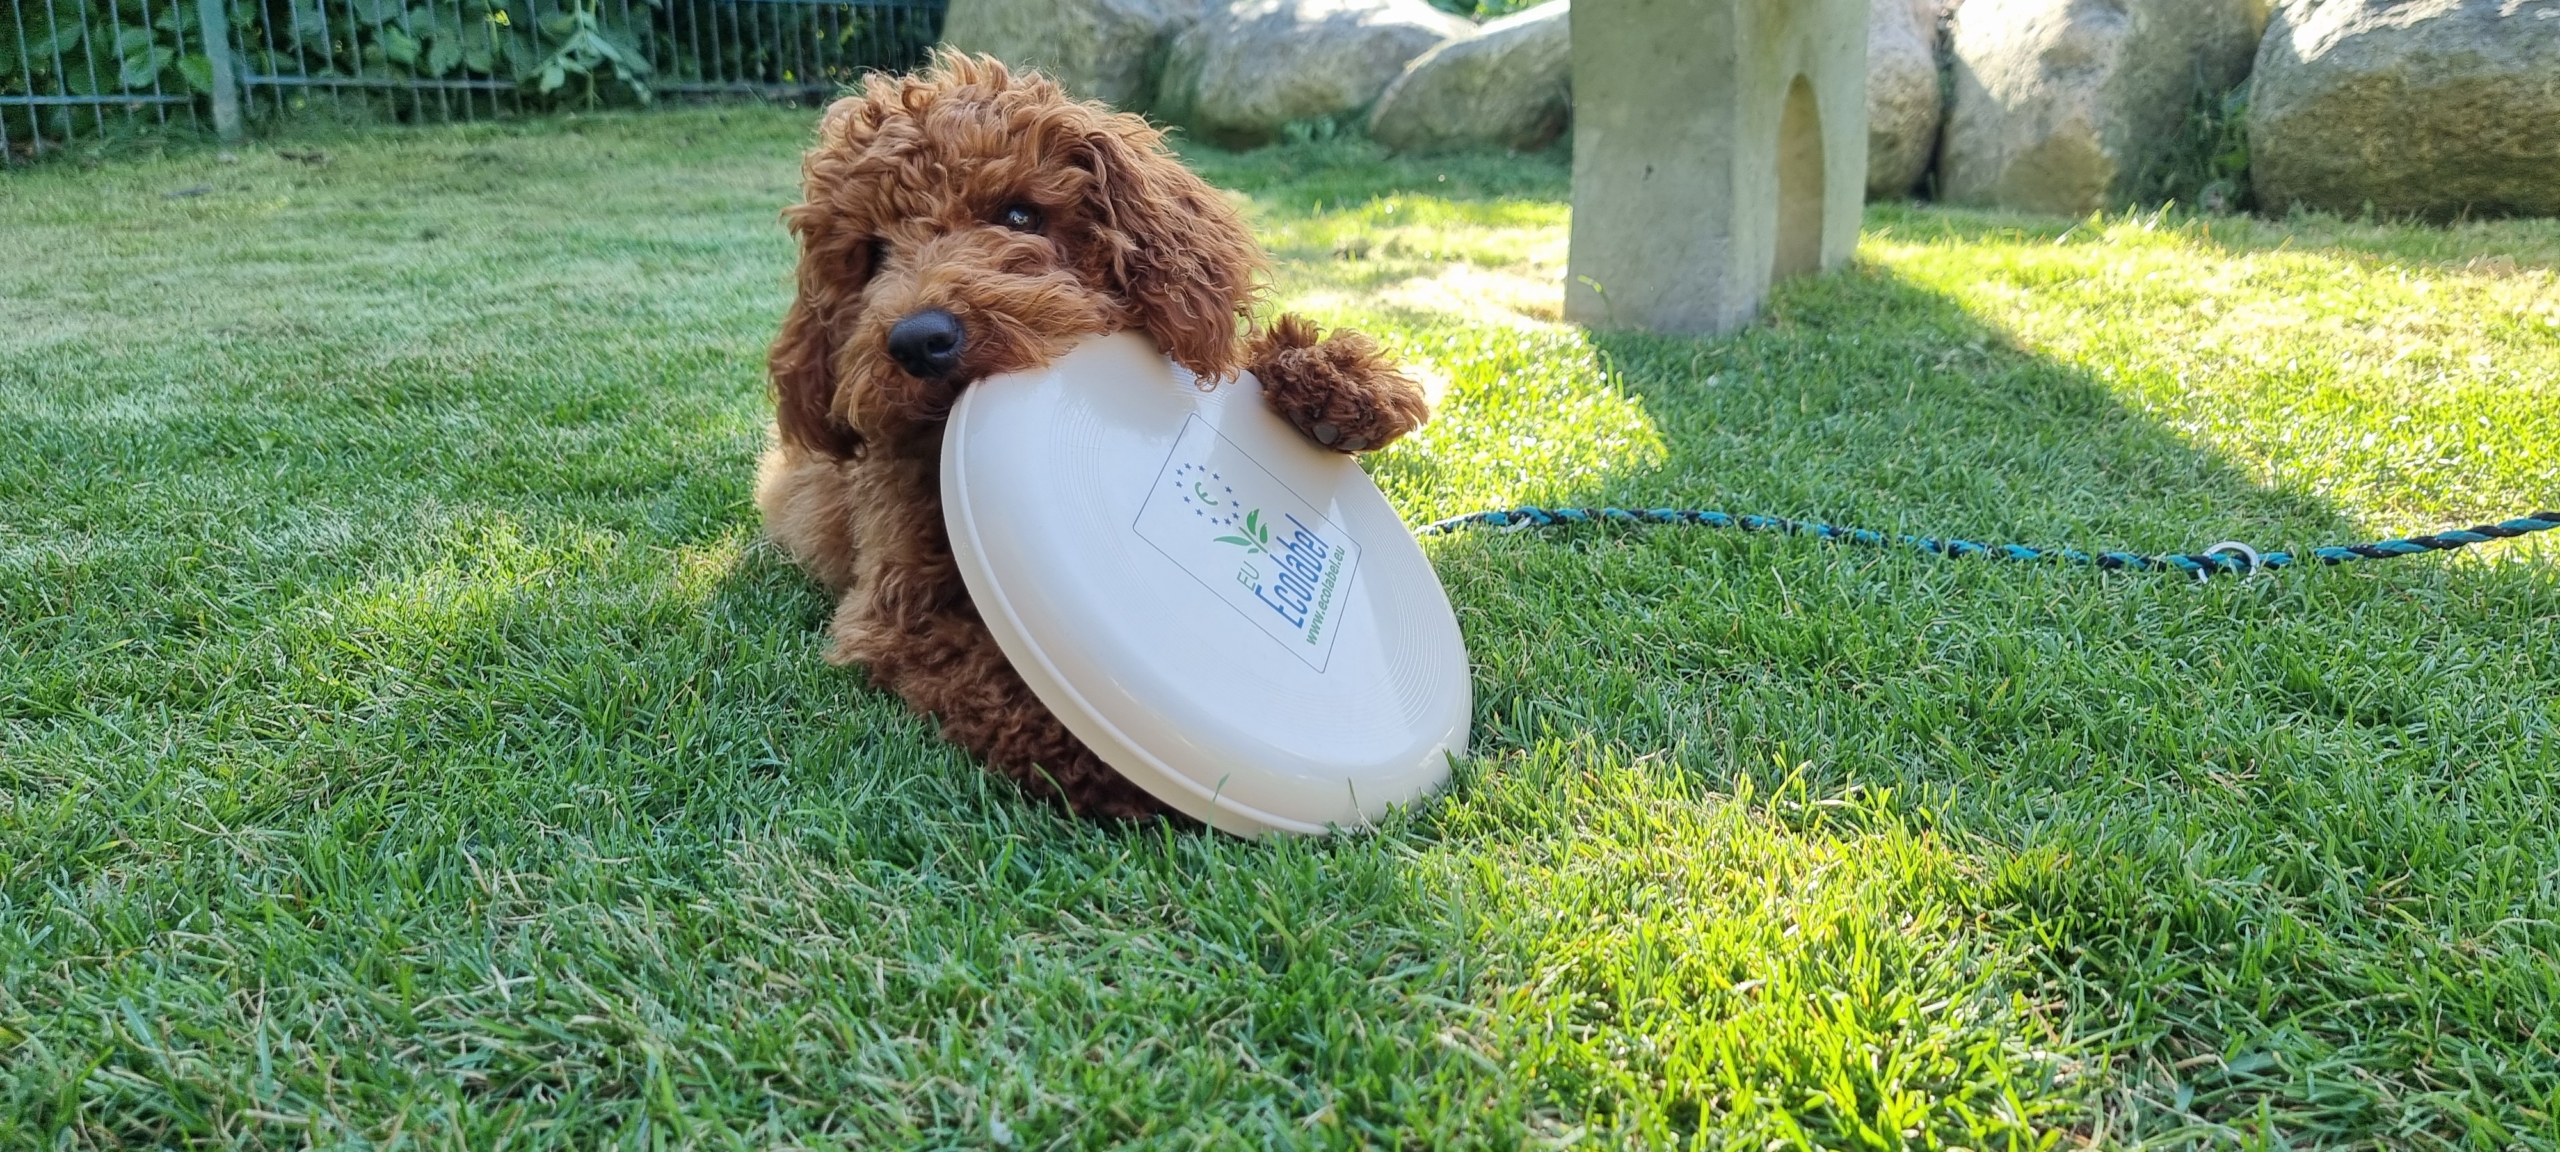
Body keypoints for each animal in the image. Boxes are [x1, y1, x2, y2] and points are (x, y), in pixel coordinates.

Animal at [752, 54, 1443, 819]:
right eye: (871, 255)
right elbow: (992, 679)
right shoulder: (896, 617)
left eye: (1019, 214)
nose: (919, 340)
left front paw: (1337, 384)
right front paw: (1121, 763)